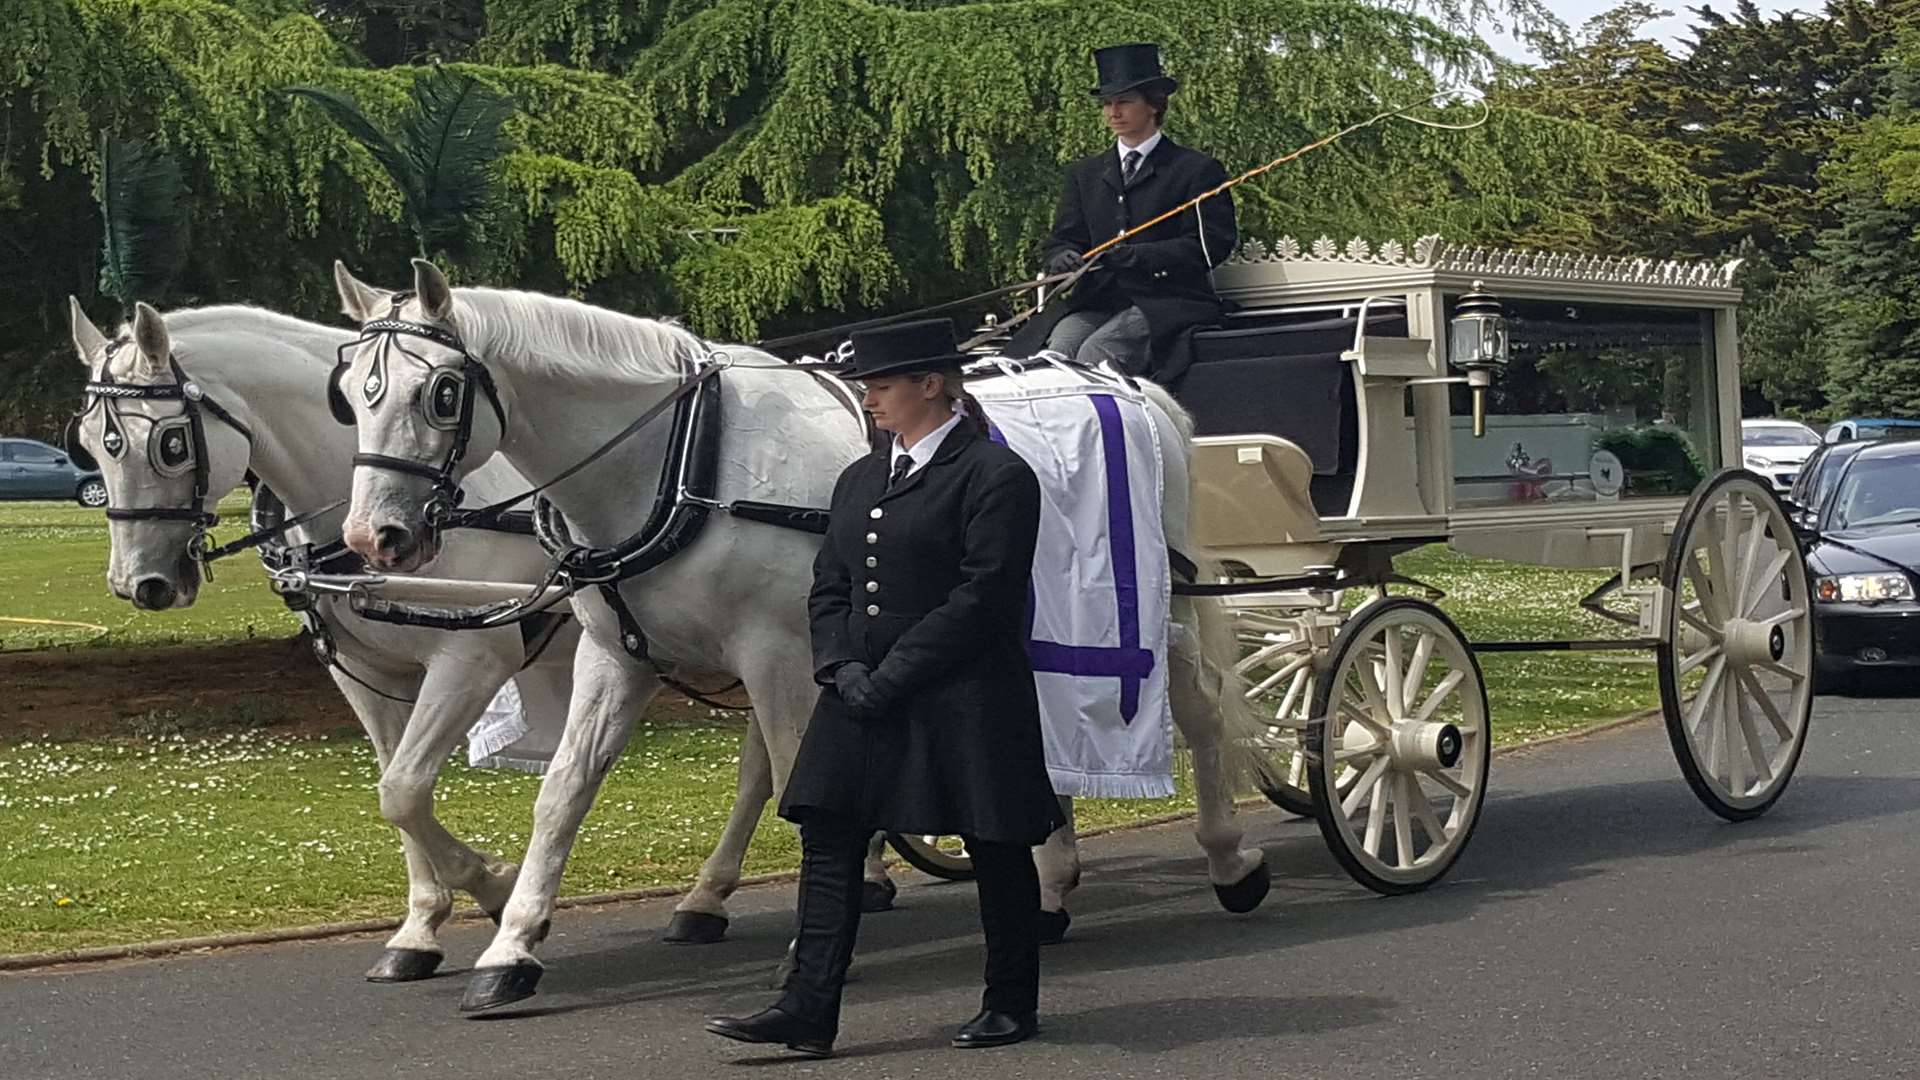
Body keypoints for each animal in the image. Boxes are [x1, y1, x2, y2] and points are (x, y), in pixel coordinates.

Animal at [63, 297, 894, 980]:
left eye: (171, 444)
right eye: (90, 446)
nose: (141, 584)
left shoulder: (471, 657)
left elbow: (405, 788)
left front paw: (492, 887)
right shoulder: (364, 673)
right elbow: (397, 790)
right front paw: (424, 927)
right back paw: (731, 893)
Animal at [330, 259, 1274, 1006]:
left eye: (440, 392)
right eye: (350, 401)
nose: (375, 538)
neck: (684, 459)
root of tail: (1129, 387)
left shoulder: (777, 653)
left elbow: (795, 786)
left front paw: (817, 939)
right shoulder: (617, 658)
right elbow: (562, 793)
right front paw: (513, 941)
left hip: (1153, 612)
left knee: (1197, 705)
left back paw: (1228, 858)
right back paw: (1050, 881)